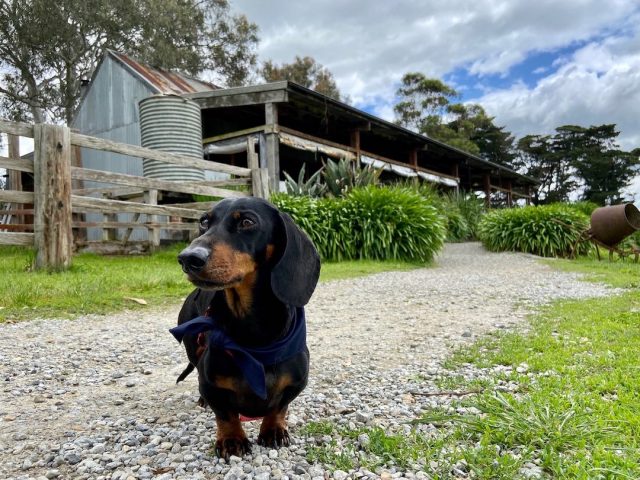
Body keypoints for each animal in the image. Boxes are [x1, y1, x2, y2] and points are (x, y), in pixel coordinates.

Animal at [170, 197, 320, 460]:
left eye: (247, 222)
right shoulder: (211, 386)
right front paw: (232, 440)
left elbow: (279, 407)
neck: (254, 343)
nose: (187, 258)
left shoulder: (297, 382)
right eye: (204, 222)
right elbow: (225, 414)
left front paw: (273, 431)